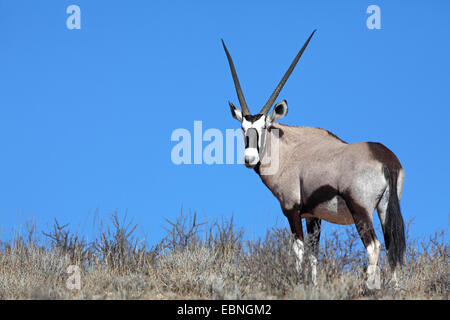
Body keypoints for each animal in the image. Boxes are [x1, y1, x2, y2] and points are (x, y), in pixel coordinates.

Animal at [223, 30, 406, 290]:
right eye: (242, 128)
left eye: (265, 126)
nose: (250, 158)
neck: (288, 150)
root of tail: (385, 159)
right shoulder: (313, 216)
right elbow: (313, 254)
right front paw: (312, 284)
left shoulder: (292, 210)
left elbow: (299, 250)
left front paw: (297, 282)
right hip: (385, 208)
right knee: (392, 246)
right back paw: (394, 287)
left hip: (360, 209)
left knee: (374, 246)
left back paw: (369, 287)